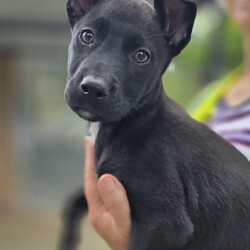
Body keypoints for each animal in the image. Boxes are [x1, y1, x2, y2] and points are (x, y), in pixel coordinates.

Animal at [61, 0, 250, 249]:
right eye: (87, 36)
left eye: (141, 56)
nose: (93, 88)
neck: (137, 121)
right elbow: (71, 202)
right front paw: (67, 239)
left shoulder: (164, 225)